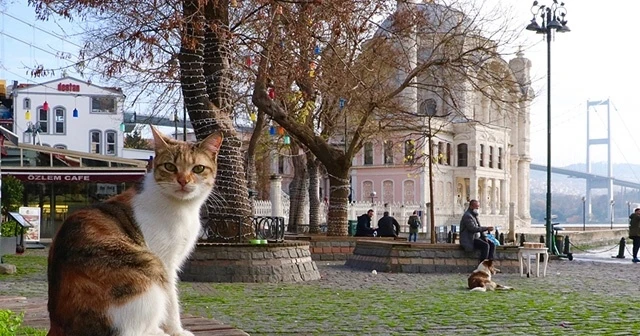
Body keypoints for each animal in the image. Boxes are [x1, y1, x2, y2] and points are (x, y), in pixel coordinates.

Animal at [48, 126, 222, 336]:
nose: (183, 181)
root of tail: (57, 326)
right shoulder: (166, 263)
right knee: (134, 330)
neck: (182, 208)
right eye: (170, 167)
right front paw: (177, 330)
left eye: (198, 168)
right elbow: (172, 301)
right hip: (150, 267)